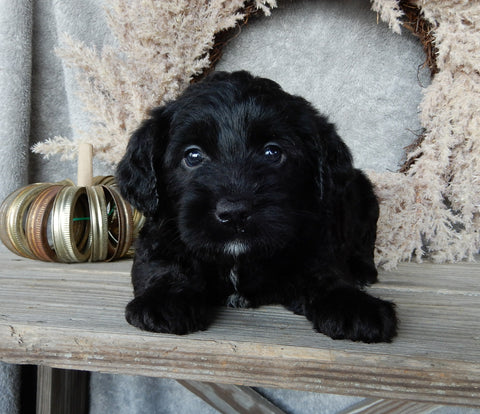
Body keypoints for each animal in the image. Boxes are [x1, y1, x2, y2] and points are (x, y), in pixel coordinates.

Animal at [117, 72, 398, 342]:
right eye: (193, 155)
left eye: (272, 152)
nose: (234, 214)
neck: (237, 259)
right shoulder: (160, 233)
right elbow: (162, 265)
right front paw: (166, 300)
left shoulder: (315, 240)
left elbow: (326, 273)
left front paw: (353, 305)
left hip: (364, 195)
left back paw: (362, 272)